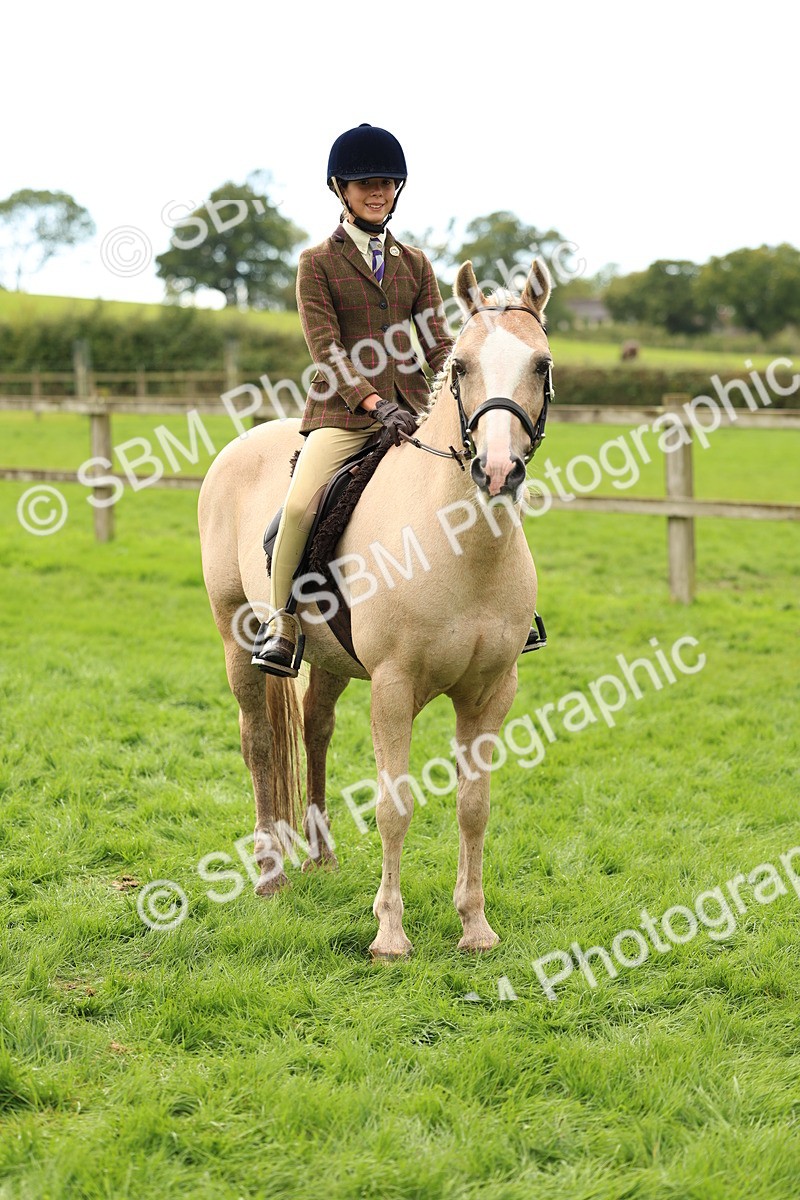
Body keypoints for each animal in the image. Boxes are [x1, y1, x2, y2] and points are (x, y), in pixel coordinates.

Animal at [198, 258, 553, 959]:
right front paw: (390, 933)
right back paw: (270, 874)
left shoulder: (491, 692)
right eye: (462, 366)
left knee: (315, 729)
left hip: (331, 660)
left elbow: (475, 806)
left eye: (541, 365)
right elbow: (395, 806)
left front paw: (475, 927)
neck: (459, 543)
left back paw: (321, 857)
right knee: (259, 744)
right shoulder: (393, 687)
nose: (497, 471)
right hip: (236, 639)